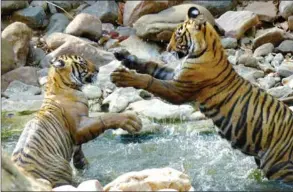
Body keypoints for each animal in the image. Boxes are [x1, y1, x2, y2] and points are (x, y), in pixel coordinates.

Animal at [10, 54, 140, 188]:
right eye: (83, 63)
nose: (98, 69)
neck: (60, 86)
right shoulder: (79, 128)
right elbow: (105, 118)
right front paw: (132, 121)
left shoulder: (76, 142)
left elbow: (79, 156)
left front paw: (84, 166)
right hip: (61, 167)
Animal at [110, 6, 292, 183]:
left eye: (178, 35)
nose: (167, 49)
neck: (207, 49)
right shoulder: (175, 76)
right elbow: (151, 65)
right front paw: (124, 56)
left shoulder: (179, 89)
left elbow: (151, 80)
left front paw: (123, 77)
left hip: (278, 168)